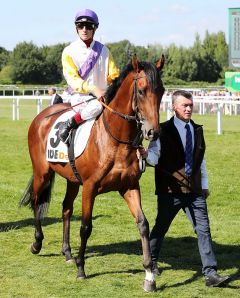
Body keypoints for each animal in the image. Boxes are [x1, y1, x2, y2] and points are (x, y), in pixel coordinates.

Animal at [20, 54, 165, 292]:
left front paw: (149, 275)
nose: (153, 132)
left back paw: (67, 252)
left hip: (72, 179)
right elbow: (86, 227)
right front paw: (81, 269)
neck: (115, 140)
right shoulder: (90, 187)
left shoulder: (129, 186)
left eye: (161, 91)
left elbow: (143, 224)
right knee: (36, 201)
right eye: (142, 91)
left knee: (66, 209)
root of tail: (43, 116)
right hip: (42, 173)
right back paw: (37, 243)